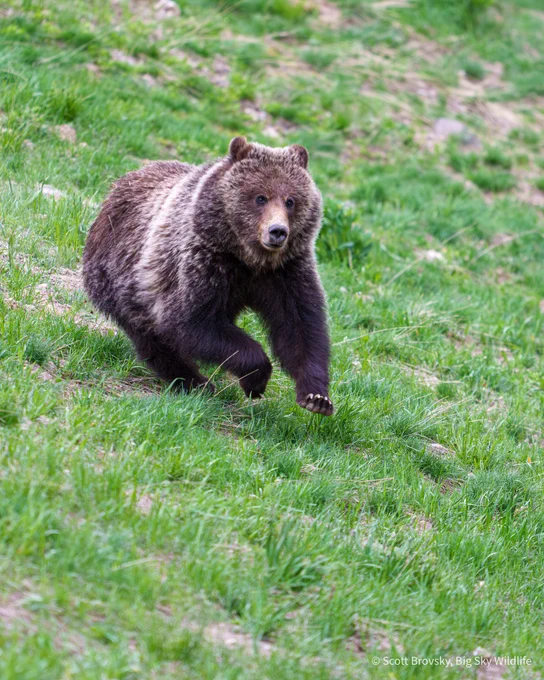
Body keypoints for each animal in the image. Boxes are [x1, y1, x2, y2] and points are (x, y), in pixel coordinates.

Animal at [82, 137, 333, 415]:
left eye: (291, 200)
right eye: (260, 197)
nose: (277, 231)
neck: (248, 258)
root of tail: (121, 182)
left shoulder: (286, 272)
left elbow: (301, 329)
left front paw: (316, 397)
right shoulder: (202, 262)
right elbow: (191, 321)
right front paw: (255, 380)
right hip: (121, 277)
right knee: (150, 336)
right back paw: (194, 381)